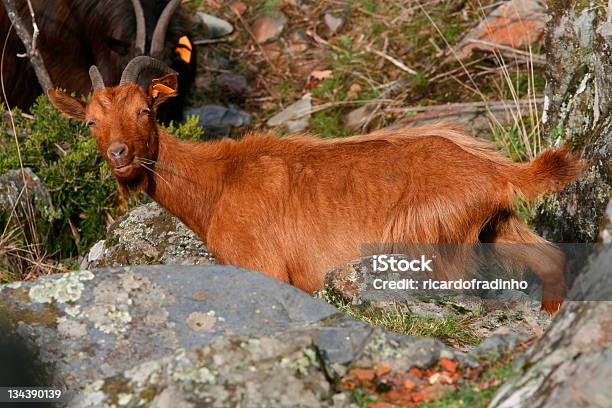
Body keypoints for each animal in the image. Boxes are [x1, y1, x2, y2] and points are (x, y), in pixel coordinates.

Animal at [47, 63, 584, 312]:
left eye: (144, 110)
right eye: (91, 122)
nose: (120, 156)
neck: (219, 181)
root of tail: (495, 171)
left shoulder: (263, 267)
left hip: (429, 241)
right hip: (498, 224)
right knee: (550, 258)